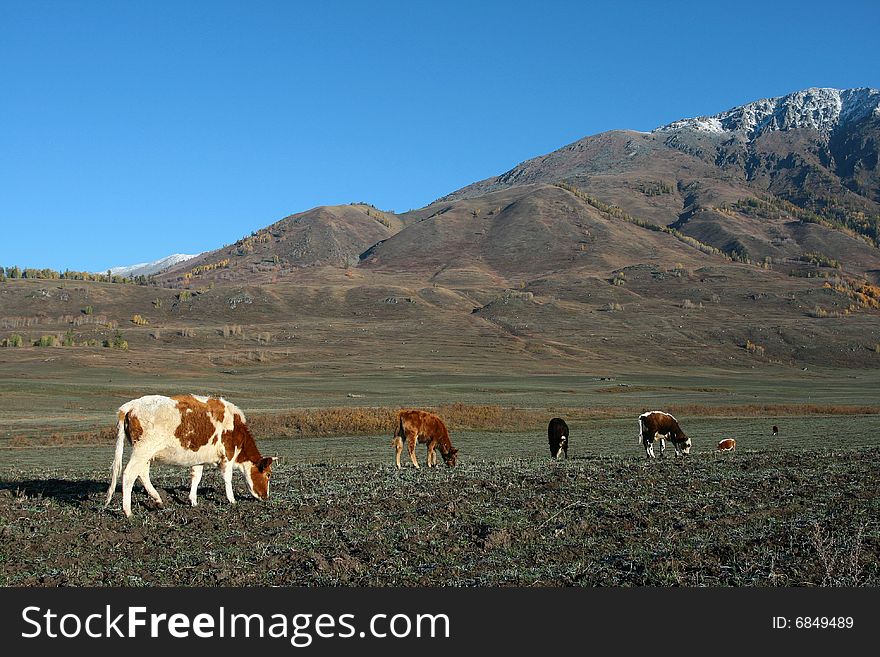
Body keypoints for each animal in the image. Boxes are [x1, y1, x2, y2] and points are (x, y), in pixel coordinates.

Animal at [105, 394, 276, 516]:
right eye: (268, 475)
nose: (266, 497)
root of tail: (130, 405)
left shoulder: (198, 458)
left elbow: (196, 477)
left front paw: (193, 501)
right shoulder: (228, 455)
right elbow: (227, 478)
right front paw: (232, 500)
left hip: (145, 454)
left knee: (142, 473)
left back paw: (158, 500)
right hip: (143, 450)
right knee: (129, 474)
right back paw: (128, 512)